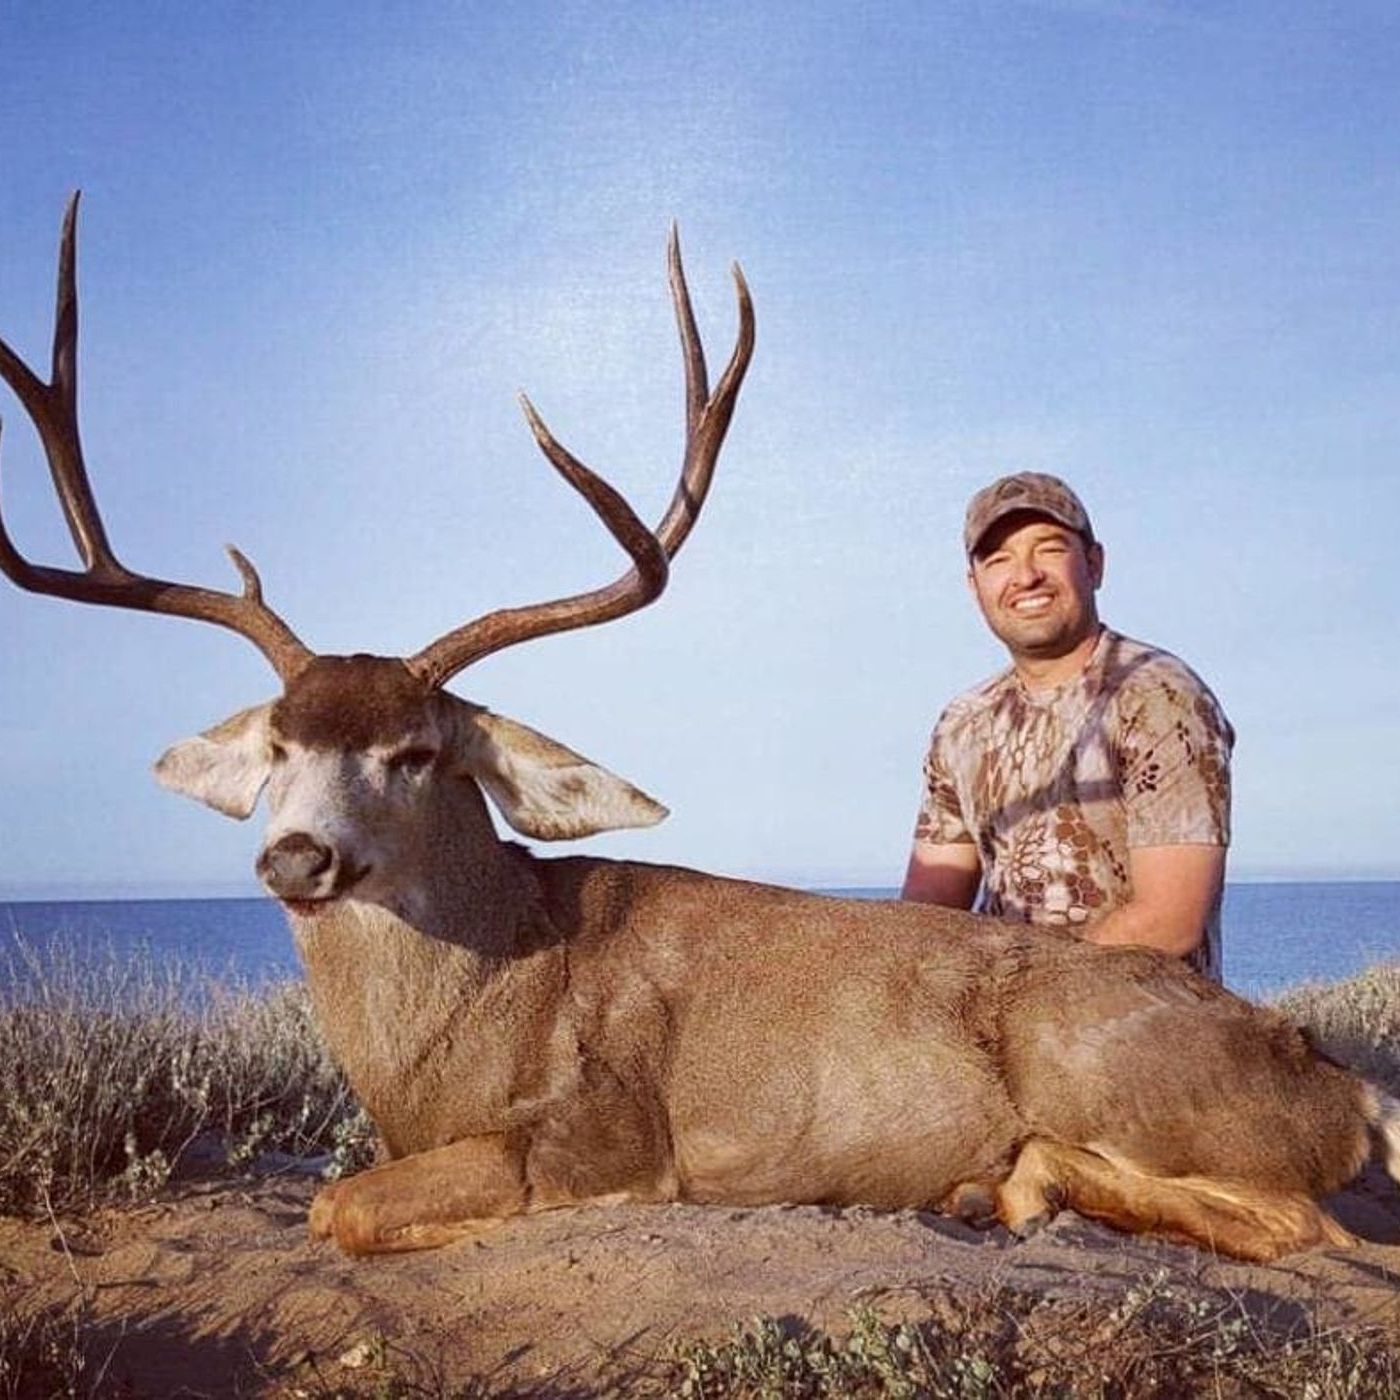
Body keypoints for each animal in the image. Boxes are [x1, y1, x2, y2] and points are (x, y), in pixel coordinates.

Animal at [2, 196, 1397, 1264]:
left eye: (417, 751)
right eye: (279, 746)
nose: (296, 856)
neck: (465, 1021)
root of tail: (1337, 1075)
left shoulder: (602, 1128)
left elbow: (339, 1206)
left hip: (1100, 1060)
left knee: (1306, 1228)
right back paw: (988, 1184)